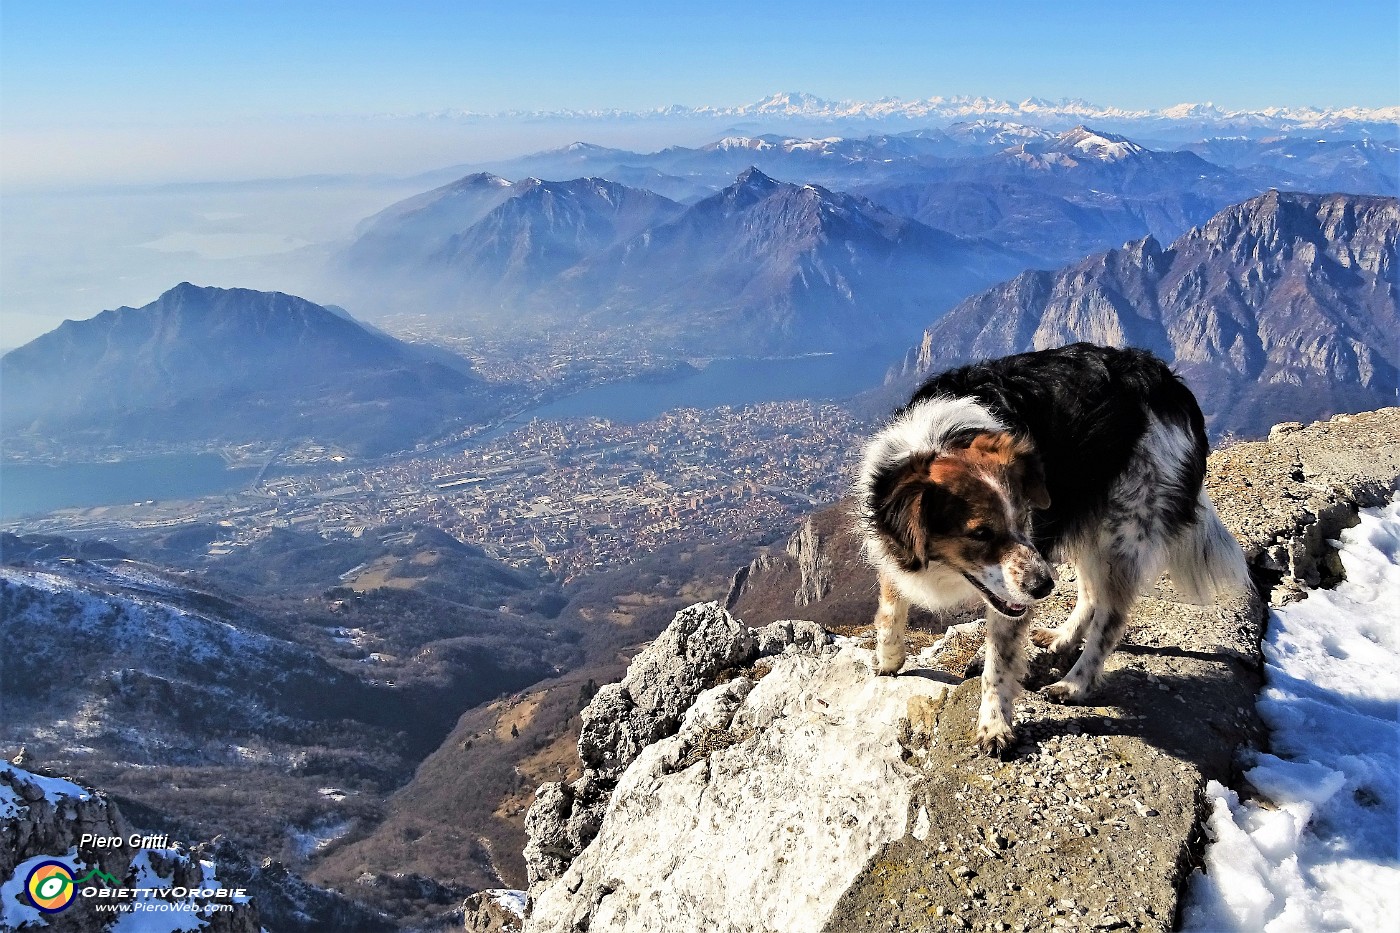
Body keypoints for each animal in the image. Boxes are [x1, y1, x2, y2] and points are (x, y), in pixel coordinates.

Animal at [856, 344, 1254, 750]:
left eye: (1023, 517)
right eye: (980, 533)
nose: (1044, 587)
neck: (937, 439)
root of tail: (1165, 382)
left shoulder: (1023, 573)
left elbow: (998, 663)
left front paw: (995, 725)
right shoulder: (893, 549)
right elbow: (890, 609)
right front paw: (888, 661)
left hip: (1122, 531)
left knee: (1110, 617)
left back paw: (1074, 684)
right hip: (1087, 517)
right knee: (1091, 593)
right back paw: (1062, 637)